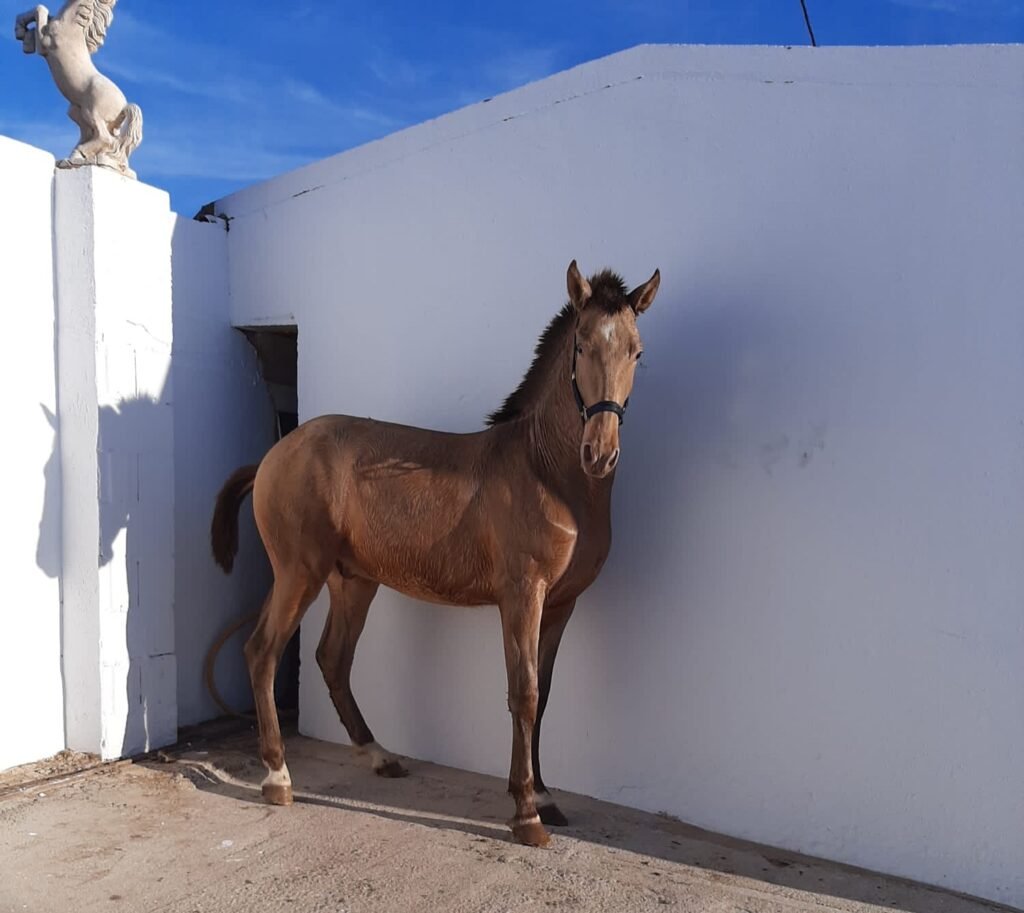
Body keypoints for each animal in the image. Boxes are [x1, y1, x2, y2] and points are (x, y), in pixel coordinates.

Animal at [211, 260, 661, 846]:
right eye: (581, 344)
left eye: (636, 351)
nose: (600, 453)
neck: (547, 471)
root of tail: (273, 454)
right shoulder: (522, 596)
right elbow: (524, 693)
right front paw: (526, 813)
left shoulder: (561, 605)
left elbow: (544, 696)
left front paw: (544, 796)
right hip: (298, 572)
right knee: (262, 650)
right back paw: (277, 776)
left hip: (351, 580)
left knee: (332, 657)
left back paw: (379, 756)